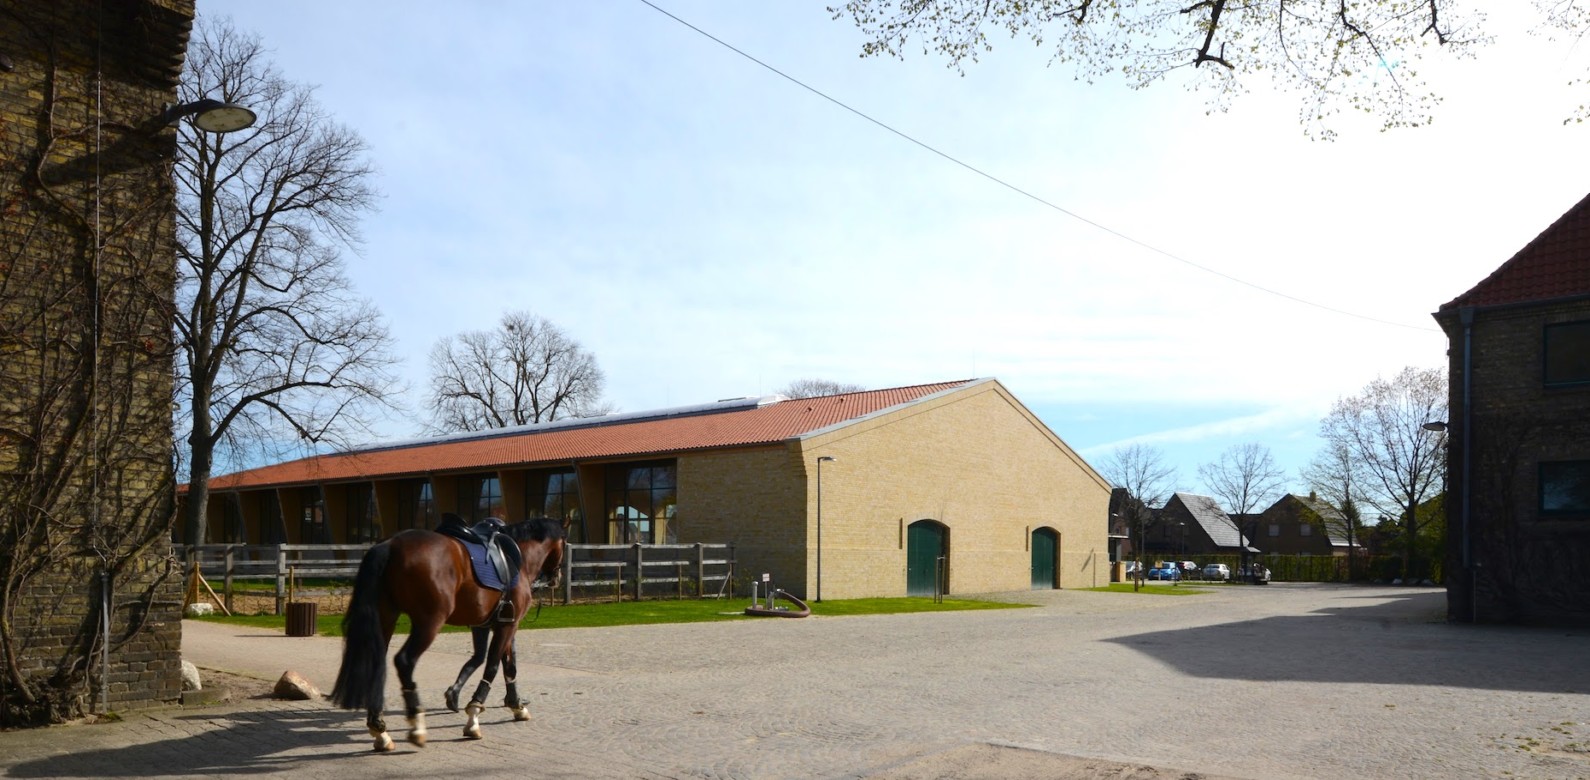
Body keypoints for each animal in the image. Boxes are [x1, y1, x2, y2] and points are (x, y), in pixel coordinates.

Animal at [329, 511, 566, 749]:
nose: (557, 577)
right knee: (404, 661)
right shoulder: (508, 625)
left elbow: (509, 666)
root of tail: (390, 544)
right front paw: (474, 715)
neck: (518, 557)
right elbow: (492, 667)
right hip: (429, 623)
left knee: (378, 663)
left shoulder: (502, 624)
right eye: (565, 544)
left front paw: (516, 705)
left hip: (386, 618)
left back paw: (380, 728)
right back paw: (416, 723)